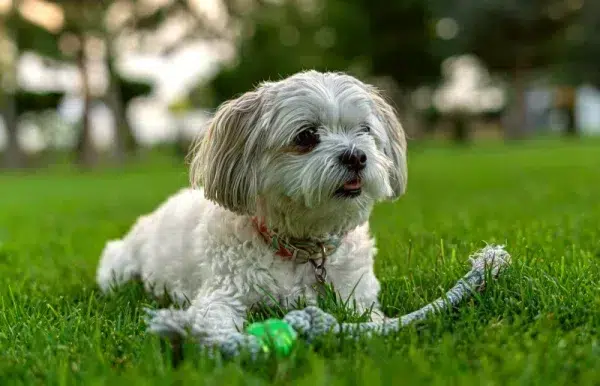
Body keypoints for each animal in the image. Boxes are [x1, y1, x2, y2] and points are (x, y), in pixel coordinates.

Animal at [97, 70, 408, 344]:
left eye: (364, 130)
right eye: (306, 136)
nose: (356, 156)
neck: (301, 248)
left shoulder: (357, 293)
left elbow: (371, 317)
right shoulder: (223, 293)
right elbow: (213, 322)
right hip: (118, 266)